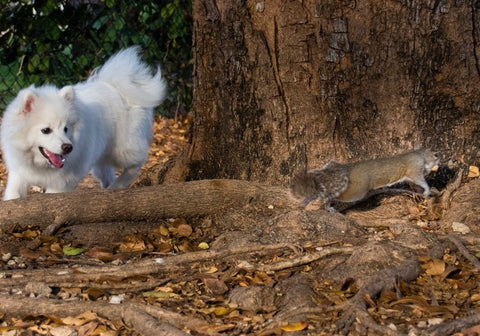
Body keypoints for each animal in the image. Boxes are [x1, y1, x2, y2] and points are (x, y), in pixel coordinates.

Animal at [1, 46, 166, 200]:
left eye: (66, 129)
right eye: (46, 130)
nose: (68, 147)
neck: (40, 164)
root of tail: (115, 86)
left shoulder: (60, 184)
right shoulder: (19, 175)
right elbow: (13, 195)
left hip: (123, 150)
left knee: (137, 163)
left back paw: (118, 185)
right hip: (102, 158)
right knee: (108, 174)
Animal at [290, 149, 440, 209]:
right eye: (435, 155)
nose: (440, 158)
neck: (420, 155)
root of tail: (347, 169)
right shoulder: (414, 170)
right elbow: (420, 181)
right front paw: (427, 190)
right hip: (356, 190)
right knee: (332, 195)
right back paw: (326, 204)